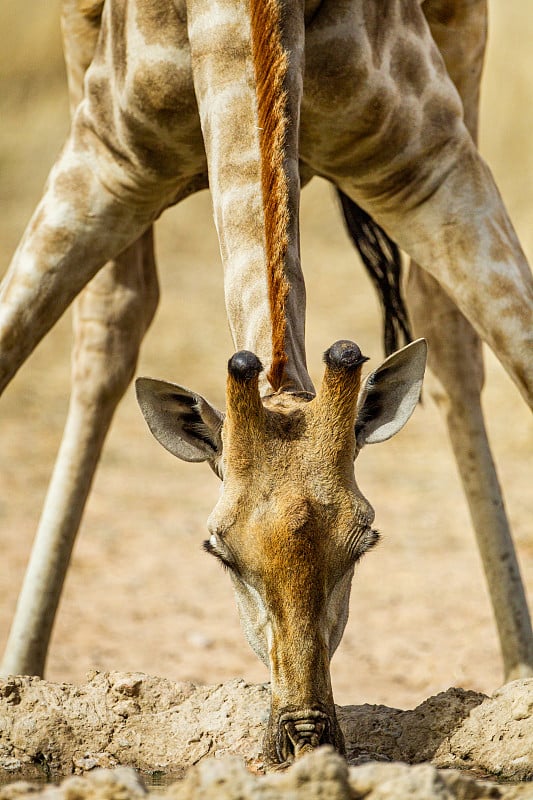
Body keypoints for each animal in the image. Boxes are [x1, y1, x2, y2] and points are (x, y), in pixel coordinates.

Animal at [1, 0, 532, 764]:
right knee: (112, 324)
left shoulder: (430, 161)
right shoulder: (103, 158)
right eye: (217, 549)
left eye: (364, 540)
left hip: (464, 47)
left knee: (449, 336)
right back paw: (22, 673)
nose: (304, 734)